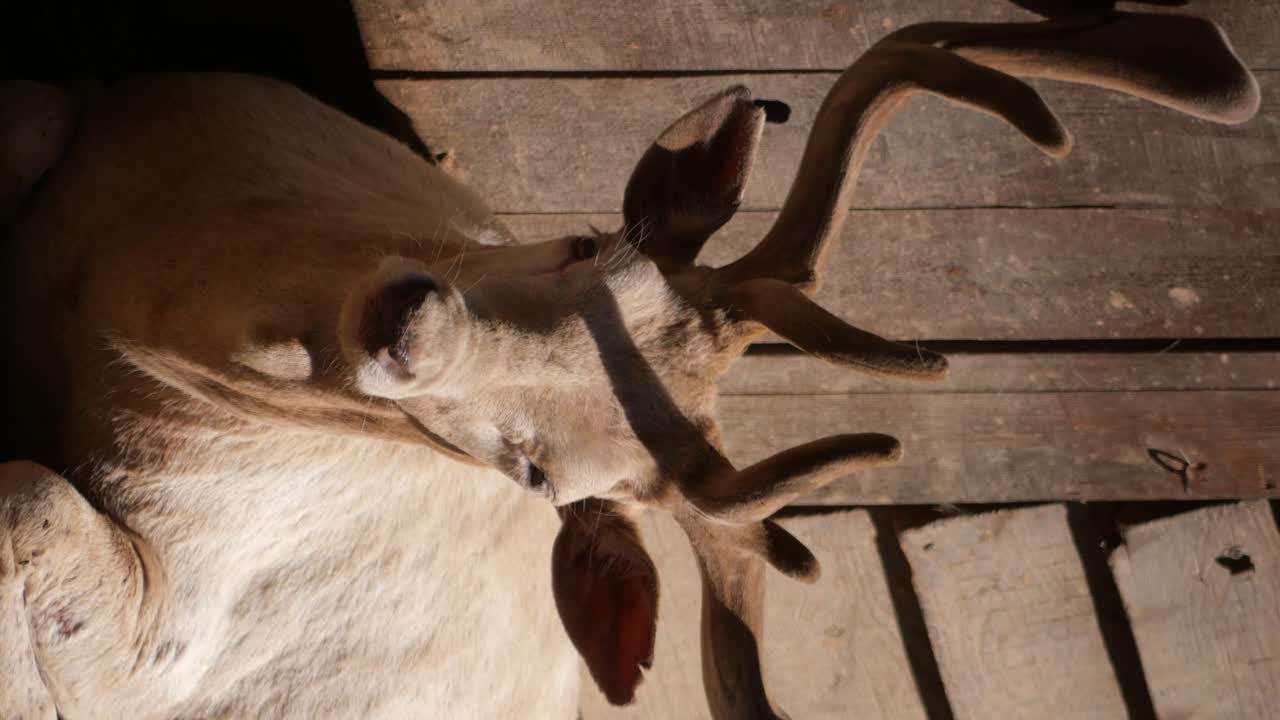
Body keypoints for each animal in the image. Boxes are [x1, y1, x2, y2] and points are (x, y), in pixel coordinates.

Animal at [0, 9, 1259, 720]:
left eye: (535, 478)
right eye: (583, 245)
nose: (415, 325)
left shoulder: (155, 644)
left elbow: (29, 502)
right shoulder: (105, 110)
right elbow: (33, 108)